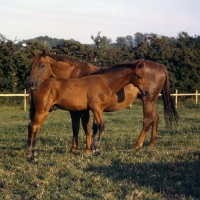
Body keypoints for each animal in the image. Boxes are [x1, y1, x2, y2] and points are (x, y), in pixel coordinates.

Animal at [27, 49, 179, 155]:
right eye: (31, 65)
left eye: (41, 65)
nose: (31, 84)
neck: (74, 75)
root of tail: (159, 65)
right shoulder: (82, 109)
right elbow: (82, 127)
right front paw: (79, 148)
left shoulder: (82, 110)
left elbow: (84, 127)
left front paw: (85, 149)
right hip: (150, 100)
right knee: (155, 118)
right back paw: (152, 143)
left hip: (147, 100)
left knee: (147, 120)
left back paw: (137, 145)